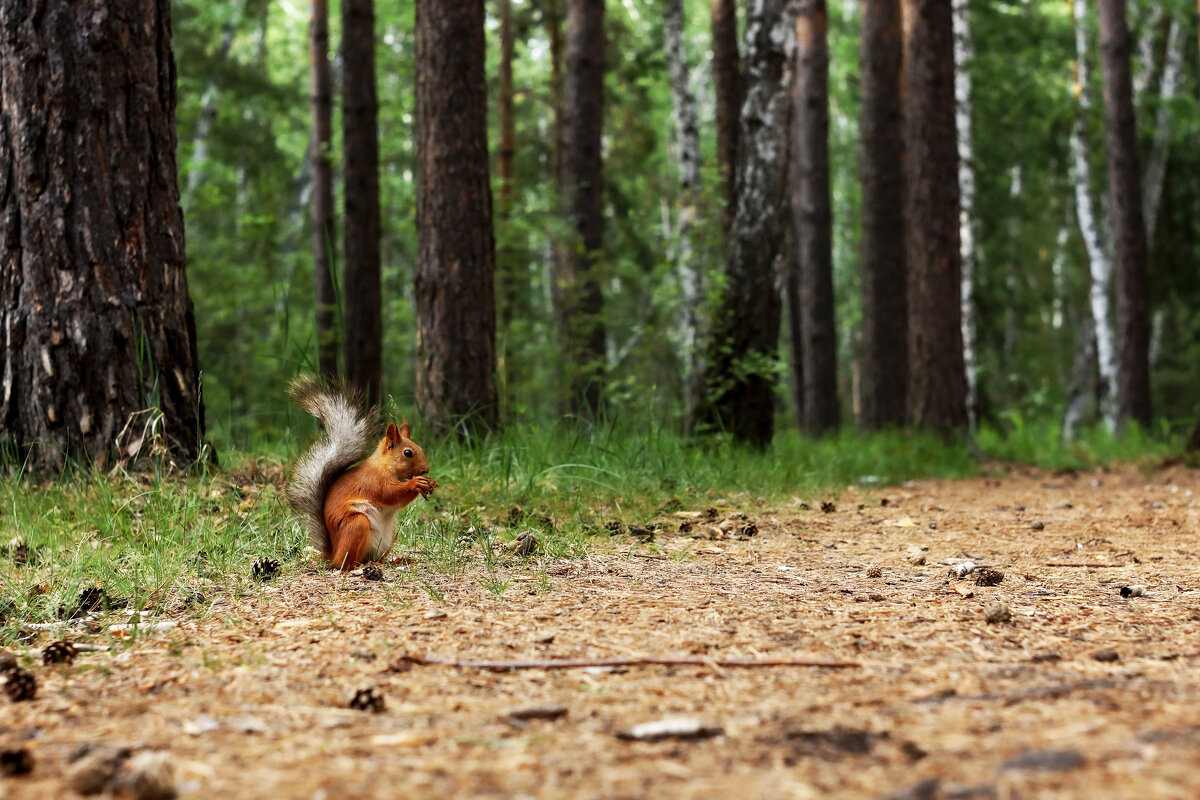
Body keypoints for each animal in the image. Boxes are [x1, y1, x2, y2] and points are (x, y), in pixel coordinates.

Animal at [284, 376, 436, 568]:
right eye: (407, 453)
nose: (426, 469)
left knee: (374, 556)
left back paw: (394, 561)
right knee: (346, 563)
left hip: (387, 537)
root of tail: (332, 554)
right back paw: (361, 566)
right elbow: (390, 493)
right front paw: (415, 483)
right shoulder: (374, 480)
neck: (386, 465)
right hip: (356, 525)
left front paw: (430, 483)